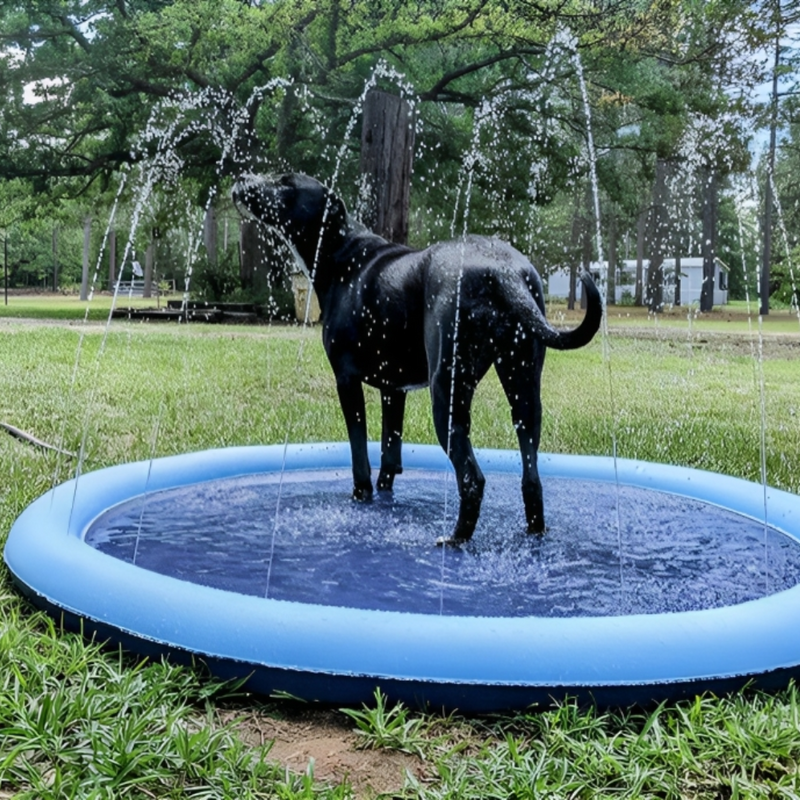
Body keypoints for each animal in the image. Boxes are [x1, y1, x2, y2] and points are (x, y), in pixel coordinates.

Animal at [233, 173, 600, 544]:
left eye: (286, 183)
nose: (242, 178)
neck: (340, 252)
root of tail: (503, 271)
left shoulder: (346, 380)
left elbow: (360, 455)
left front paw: (362, 497)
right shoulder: (394, 390)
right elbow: (389, 454)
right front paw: (385, 496)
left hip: (447, 390)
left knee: (472, 478)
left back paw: (454, 540)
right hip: (523, 388)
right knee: (531, 478)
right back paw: (532, 532)